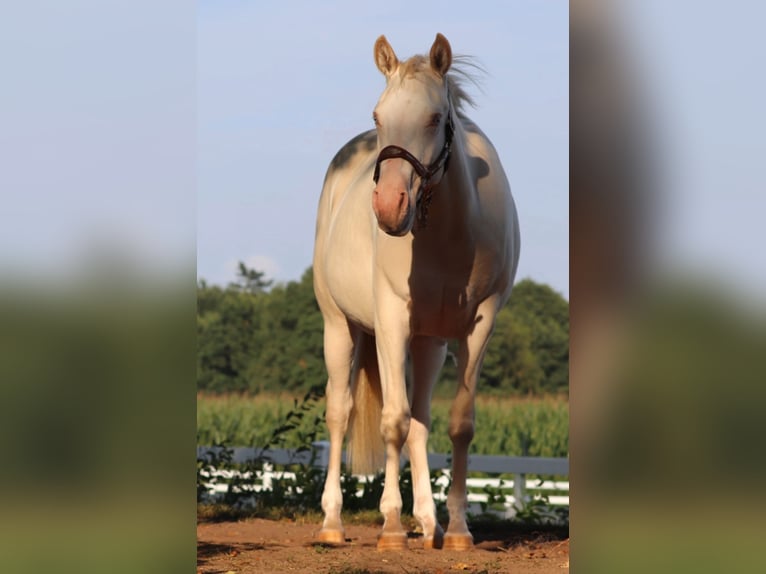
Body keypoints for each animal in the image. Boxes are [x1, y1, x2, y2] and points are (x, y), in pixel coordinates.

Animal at [312, 33, 520, 551]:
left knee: (422, 424)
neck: (449, 235)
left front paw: (460, 529)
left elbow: (457, 424)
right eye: (377, 116)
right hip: (339, 327)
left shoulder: (479, 325)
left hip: (430, 344)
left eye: (435, 118)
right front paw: (389, 526)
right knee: (341, 413)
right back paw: (332, 523)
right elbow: (393, 420)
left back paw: (430, 525)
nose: (389, 207)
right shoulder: (391, 320)